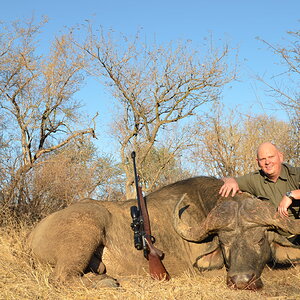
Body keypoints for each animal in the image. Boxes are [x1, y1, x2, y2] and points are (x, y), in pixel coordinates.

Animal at [28, 177, 300, 290]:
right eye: (224, 243)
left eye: (260, 239)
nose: (241, 280)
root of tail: (36, 231)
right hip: (88, 226)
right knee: (61, 277)